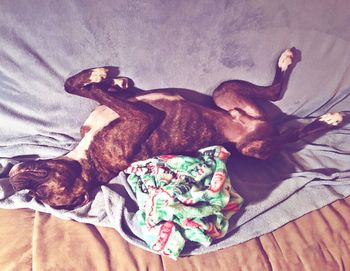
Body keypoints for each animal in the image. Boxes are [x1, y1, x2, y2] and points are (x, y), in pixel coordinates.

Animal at [8, 49, 344, 210]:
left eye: (40, 191)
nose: (12, 180)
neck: (88, 160)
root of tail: (256, 124)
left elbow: (77, 86)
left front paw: (108, 78)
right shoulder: (141, 118)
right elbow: (90, 91)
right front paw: (103, 79)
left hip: (224, 93)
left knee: (273, 92)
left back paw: (287, 61)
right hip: (255, 144)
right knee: (290, 135)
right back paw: (331, 119)